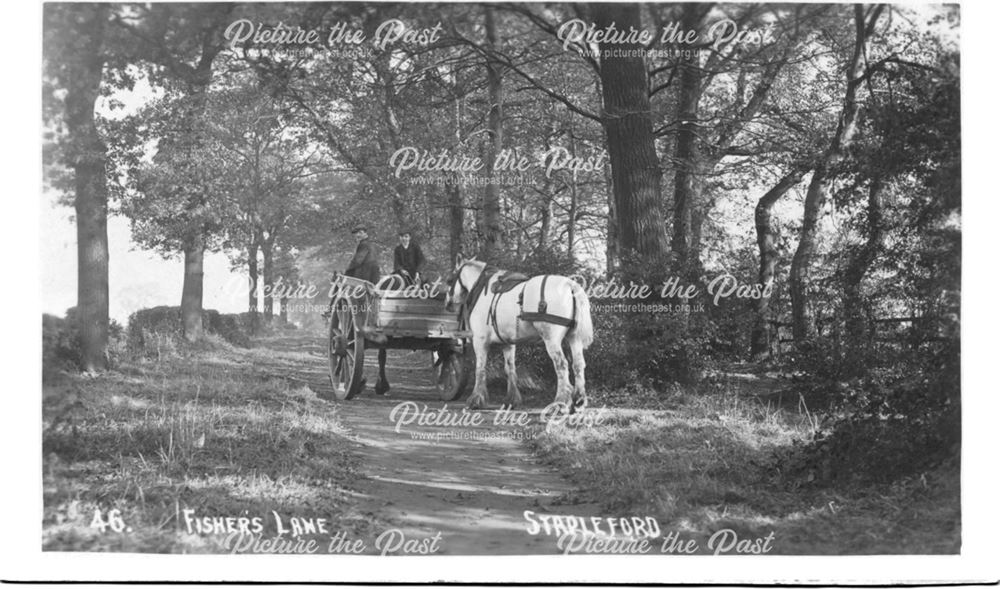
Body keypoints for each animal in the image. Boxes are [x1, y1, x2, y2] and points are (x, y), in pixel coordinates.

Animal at [442, 258, 588, 408]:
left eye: (449, 280)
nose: (447, 304)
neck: (481, 288)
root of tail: (570, 285)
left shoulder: (480, 340)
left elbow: (480, 369)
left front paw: (477, 399)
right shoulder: (508, 343)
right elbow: (510, 369)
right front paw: (512, 399)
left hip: (551, 339)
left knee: (561, 365)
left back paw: (560, 402)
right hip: (574, 338)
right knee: (578, 364)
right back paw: (579, 400)